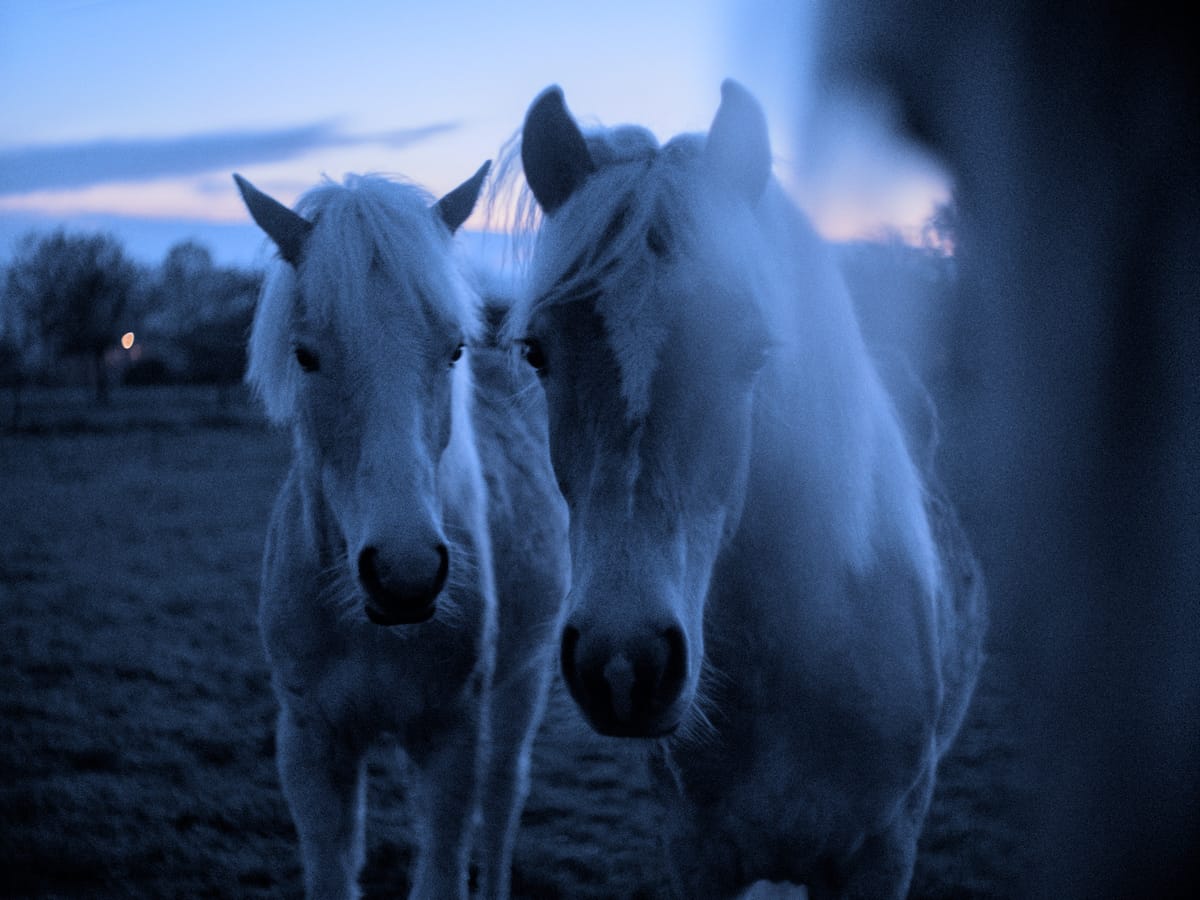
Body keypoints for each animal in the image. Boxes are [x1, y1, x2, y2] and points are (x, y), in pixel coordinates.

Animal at [234, 167, 570, 899]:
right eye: (306, 355)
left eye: (453, 350)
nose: (405, 574)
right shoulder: (311, 745)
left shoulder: (451, 742)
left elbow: (446, 867)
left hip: (524, 680)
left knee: (505, 798)